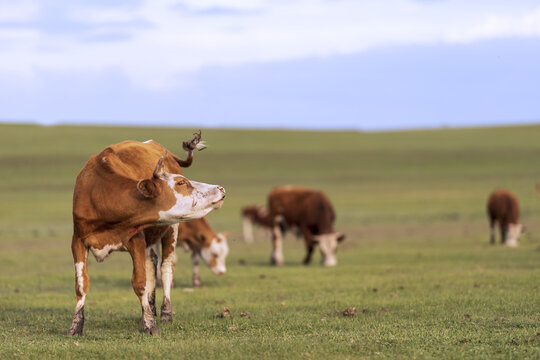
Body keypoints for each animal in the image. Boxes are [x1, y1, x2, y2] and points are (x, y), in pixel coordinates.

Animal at [66, 134, 225, 336]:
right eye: (181, 183)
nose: (220, 188)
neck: (100, 195)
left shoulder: (137, 240)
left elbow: (140, 282)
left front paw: (150, 324)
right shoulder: (78, 241)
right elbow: (81, 285)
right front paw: (75, 326)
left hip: (172, 228)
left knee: (166, 268)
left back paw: (165, 313)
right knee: (152, 264)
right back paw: (150, 309)